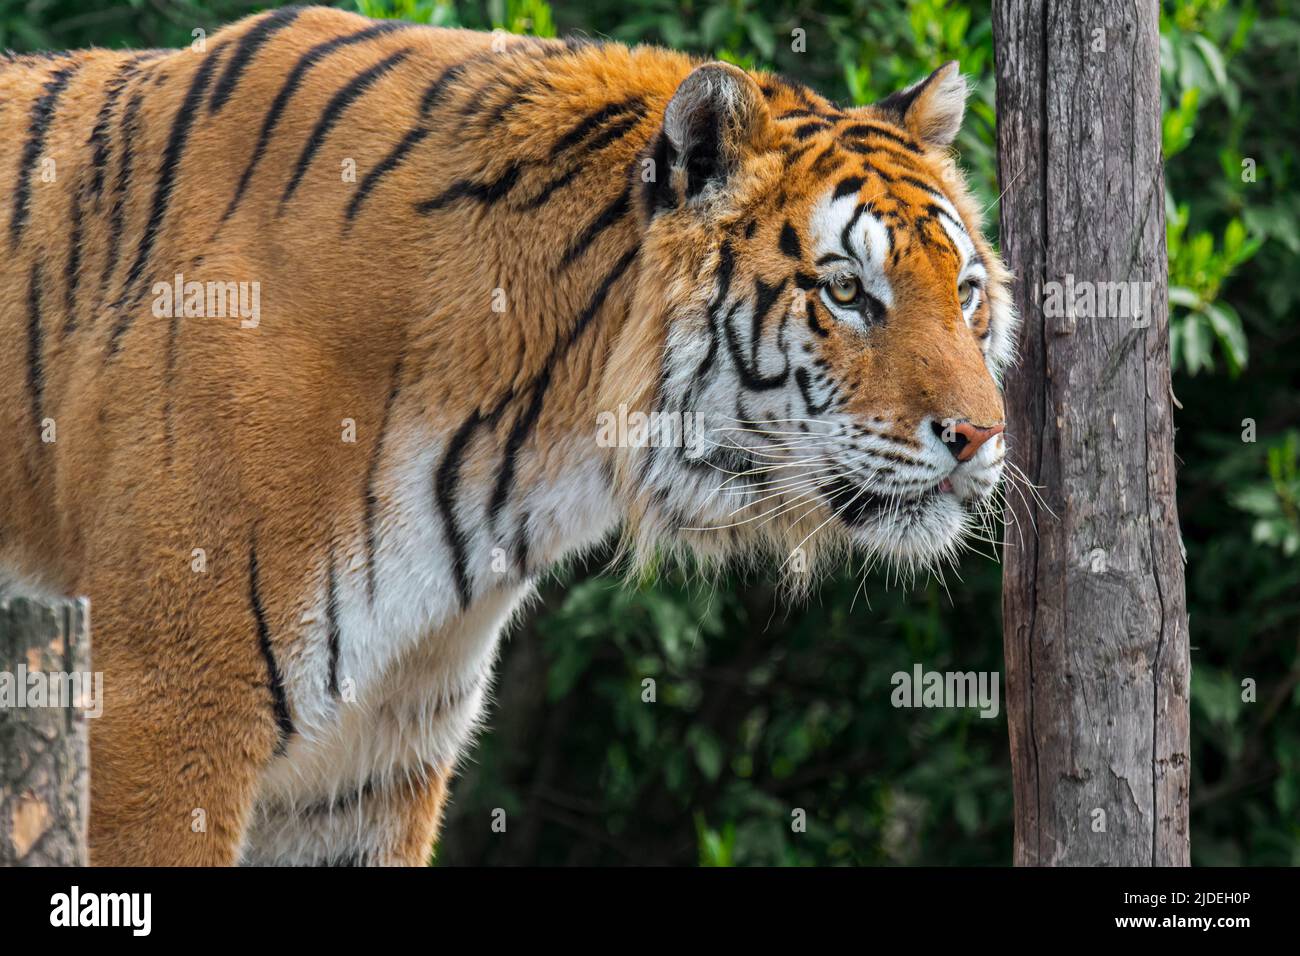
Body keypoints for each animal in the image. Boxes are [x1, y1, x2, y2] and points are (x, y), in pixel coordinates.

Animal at [0, 1, 1013, 868]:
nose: (980, 435)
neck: (522, 451)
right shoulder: (161, 712)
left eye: (965, 291)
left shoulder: (367, 763)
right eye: (845, 291)